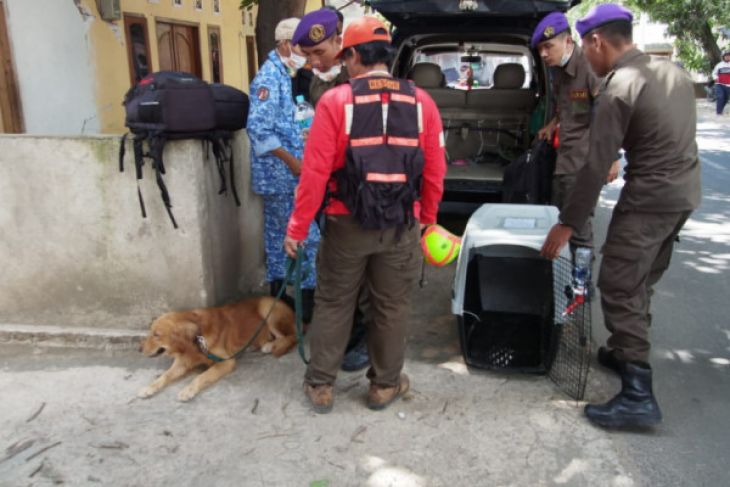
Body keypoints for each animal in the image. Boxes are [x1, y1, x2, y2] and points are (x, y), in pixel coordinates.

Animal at [136, 296, 296, 402]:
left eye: (157, 335)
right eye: (150, 331)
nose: (139, 349)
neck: (196, 340)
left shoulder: (226, 361)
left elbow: (201, 376)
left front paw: (188, 390)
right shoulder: (182, 362)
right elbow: (164, 375)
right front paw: (148, 388)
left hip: (267, 309)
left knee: (291, 337)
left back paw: (269, 346)